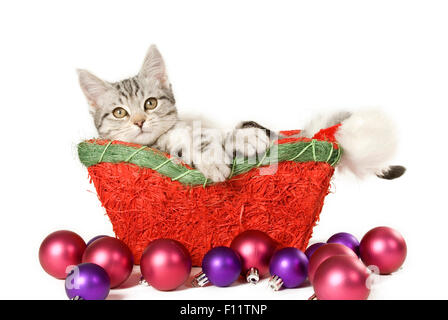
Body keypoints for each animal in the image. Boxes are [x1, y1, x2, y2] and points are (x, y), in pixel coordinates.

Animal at [78, 44, 270, 182]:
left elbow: (207, 135)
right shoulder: (175, 156)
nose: (139, 122)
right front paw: (213, 161)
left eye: (151, 103)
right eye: (119, 112)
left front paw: (244, 137)